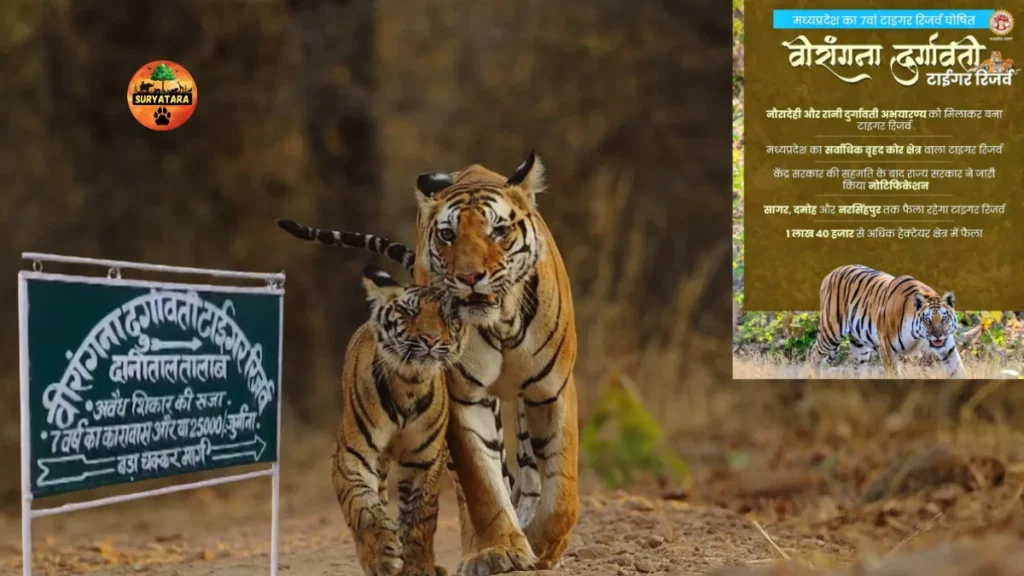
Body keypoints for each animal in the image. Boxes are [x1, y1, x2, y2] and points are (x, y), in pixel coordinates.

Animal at [331, 264, 466, 576]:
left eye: (446, 316)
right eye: (409, 312)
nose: (430, 340)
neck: (409, 383)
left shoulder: (425, 460)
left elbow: (420, 517)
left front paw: (417, 566)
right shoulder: (353, 454)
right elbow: (363, 507)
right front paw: (382, 554)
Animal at [808, 264, 966, 378]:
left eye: (944, 318)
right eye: (927, 320)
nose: (938, 336)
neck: (918, 336)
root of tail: (831, 273)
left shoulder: (947, 349)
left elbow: (958, 371)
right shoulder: (887, 349)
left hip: (860, 348)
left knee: (857, 367)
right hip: (830, 333)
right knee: (814, 354)